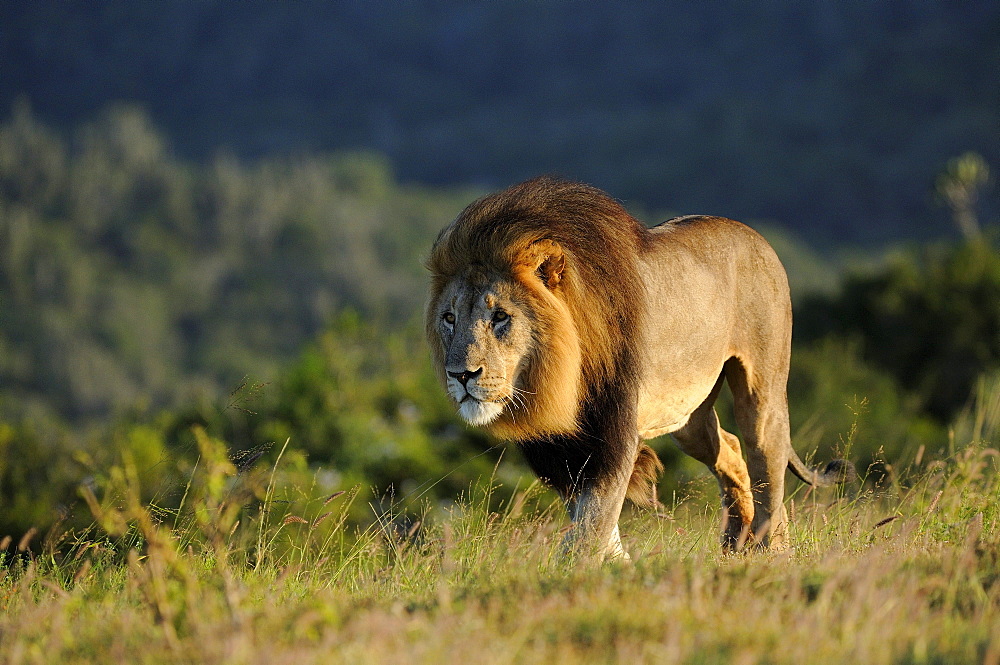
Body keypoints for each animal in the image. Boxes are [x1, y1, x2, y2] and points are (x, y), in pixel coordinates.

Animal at [422, 176, 852, 560]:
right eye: (449, 319)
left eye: (500, 317)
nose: (461, 375)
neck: (555, 377)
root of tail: (754, 234)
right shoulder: (561, 447)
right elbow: (593, 523)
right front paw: (618, 566)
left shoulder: (615, 432)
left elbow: (592, 526)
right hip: (687, 419)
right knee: (729, 448)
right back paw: (735, 542)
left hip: (761, 393)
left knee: (768, 469)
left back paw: (771, 550)